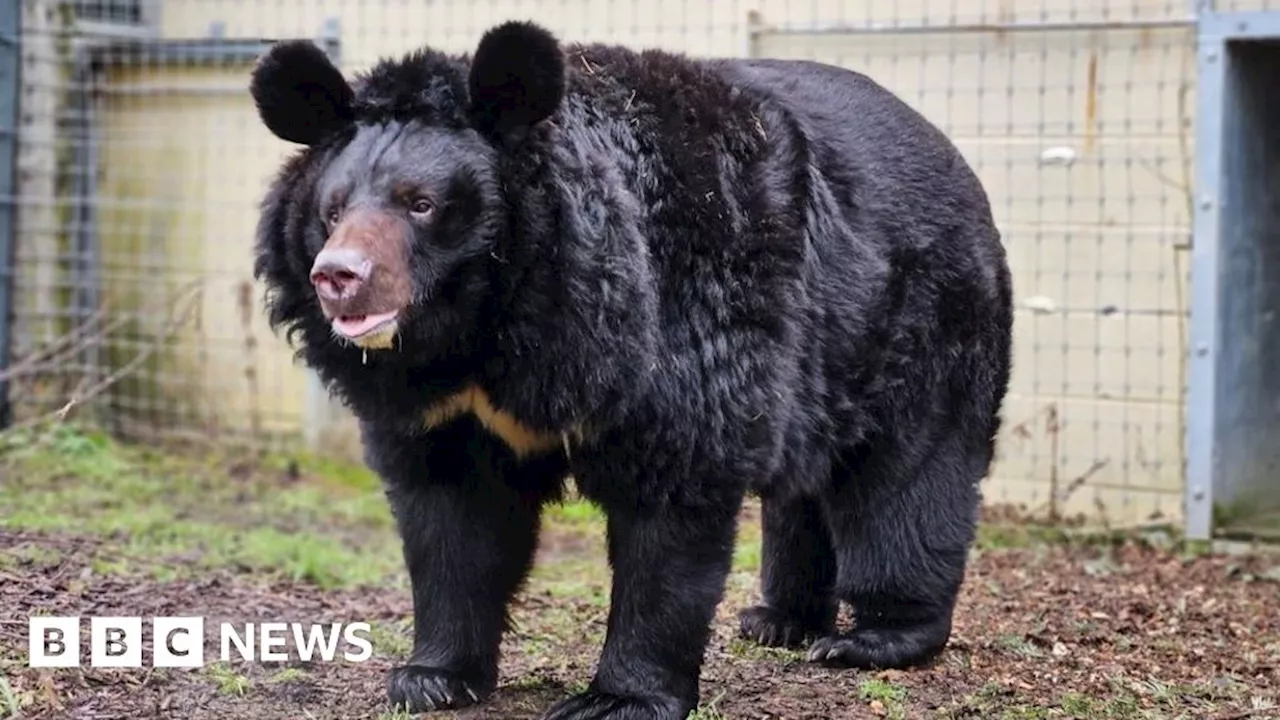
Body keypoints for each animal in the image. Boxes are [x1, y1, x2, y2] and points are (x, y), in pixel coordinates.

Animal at [247, 18, 1008, 717]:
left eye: (422, 204)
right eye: (332, 210)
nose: (338, 277)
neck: (489, 328)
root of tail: (953, 155)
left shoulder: (678, 328)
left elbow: (671, 509)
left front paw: (618, 698)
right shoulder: (443, 409)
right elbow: (452, 520)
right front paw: (430, 678)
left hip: (923, 322)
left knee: (905, 480)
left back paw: (875, 637)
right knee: (803, 488)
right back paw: (778, 621)